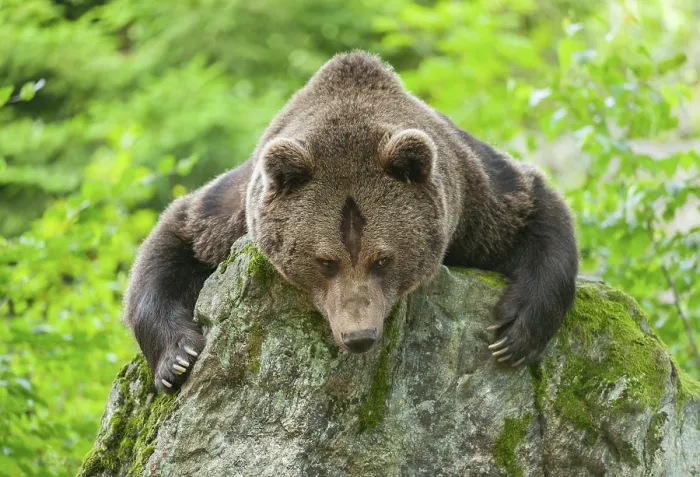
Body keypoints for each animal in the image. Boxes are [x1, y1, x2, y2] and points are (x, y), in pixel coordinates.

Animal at [123, 50, 578, 394]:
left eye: (383, 259)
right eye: (325, 261)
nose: (359, 336)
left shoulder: (473, 197)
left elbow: (535, 210)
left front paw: (513, 333)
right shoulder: (234, 211)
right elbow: (177, 241)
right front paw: (178, 358)